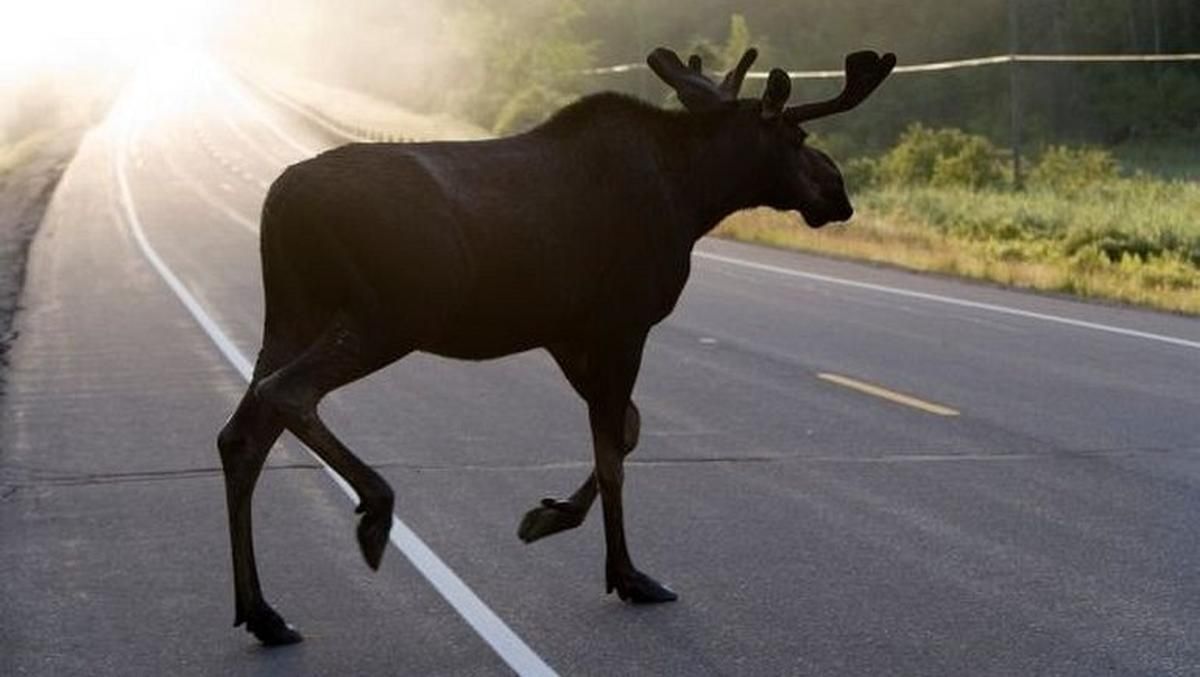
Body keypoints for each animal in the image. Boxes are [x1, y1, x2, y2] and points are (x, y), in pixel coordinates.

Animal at [218, 45, 892, 643]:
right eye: (797, 139)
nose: (839, 193)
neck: (695, 197)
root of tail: (278, 202)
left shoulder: (567, 332)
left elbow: (627, 430)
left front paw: (550, 515)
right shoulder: (621, 322)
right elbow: (613, 453)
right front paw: (627, 575)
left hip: (292, 315)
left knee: (241, 436)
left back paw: (263, 613)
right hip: (388, 315)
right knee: (287, 393)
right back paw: (375, 511)